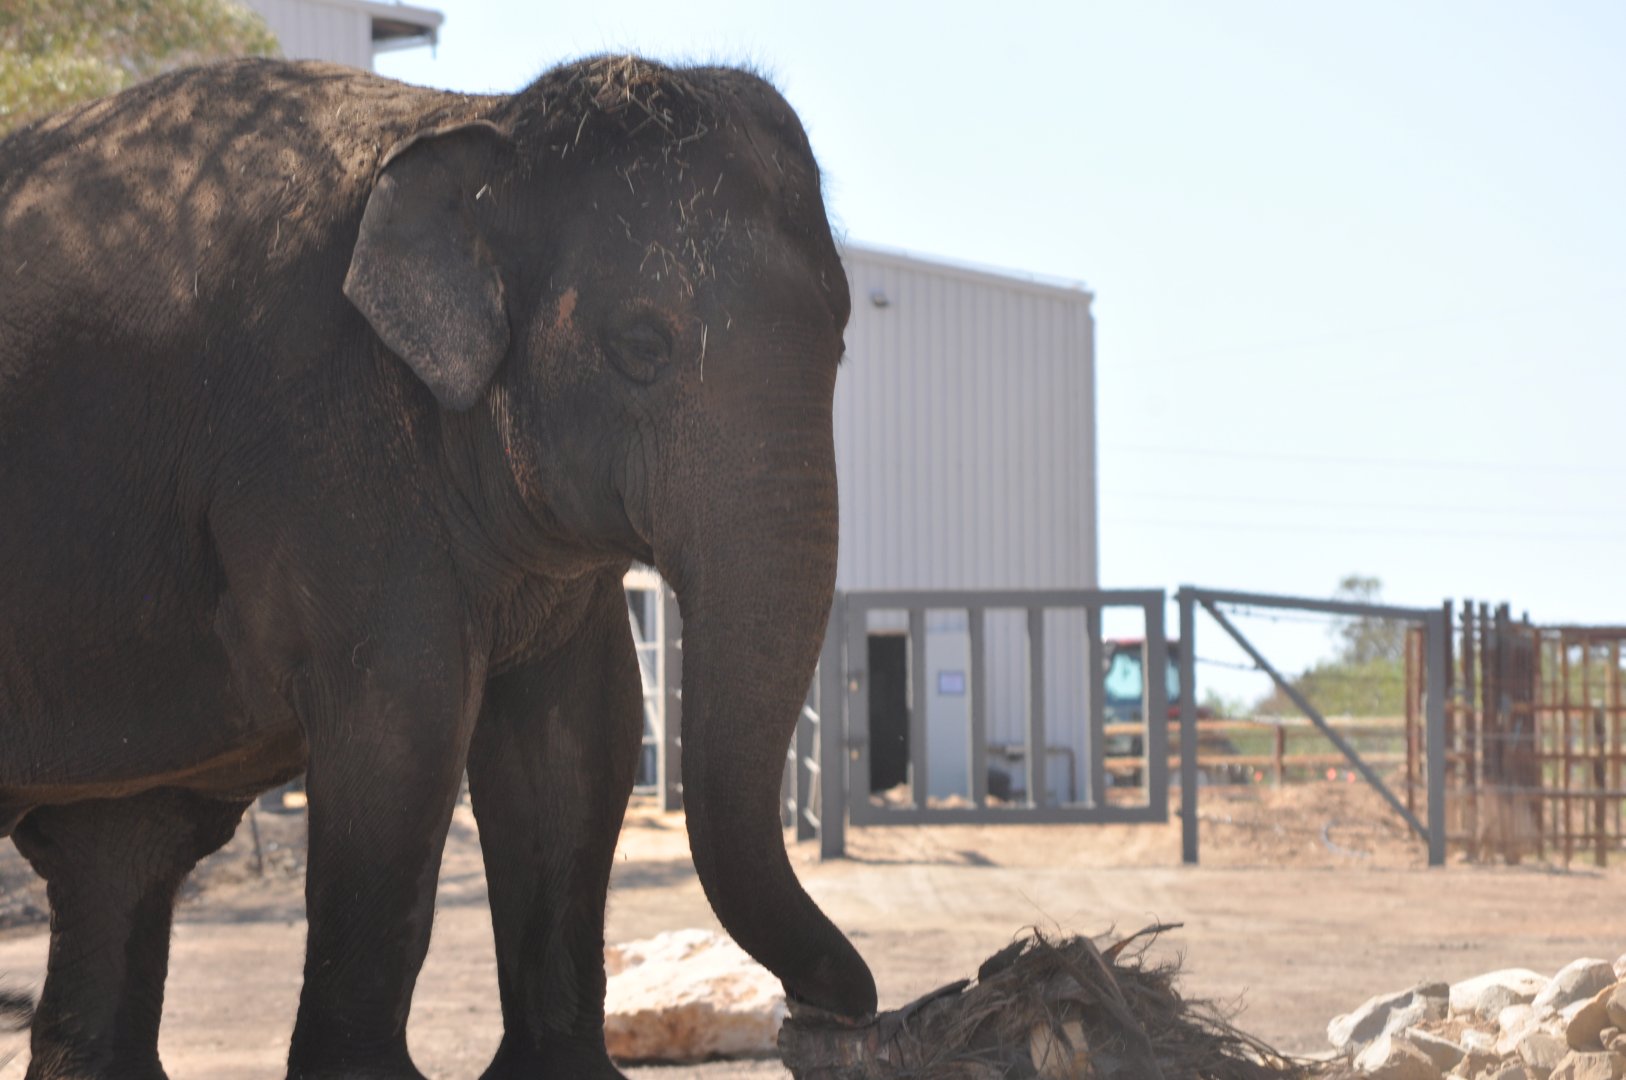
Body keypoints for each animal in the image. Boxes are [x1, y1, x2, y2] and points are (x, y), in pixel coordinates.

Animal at [0, 54, 875, 1078]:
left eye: (844, 340)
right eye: (639, 348)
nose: (834, 1014)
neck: (481, 120)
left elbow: (582, 732)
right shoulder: (320, 446)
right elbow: (404, 729)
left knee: (119, 850)